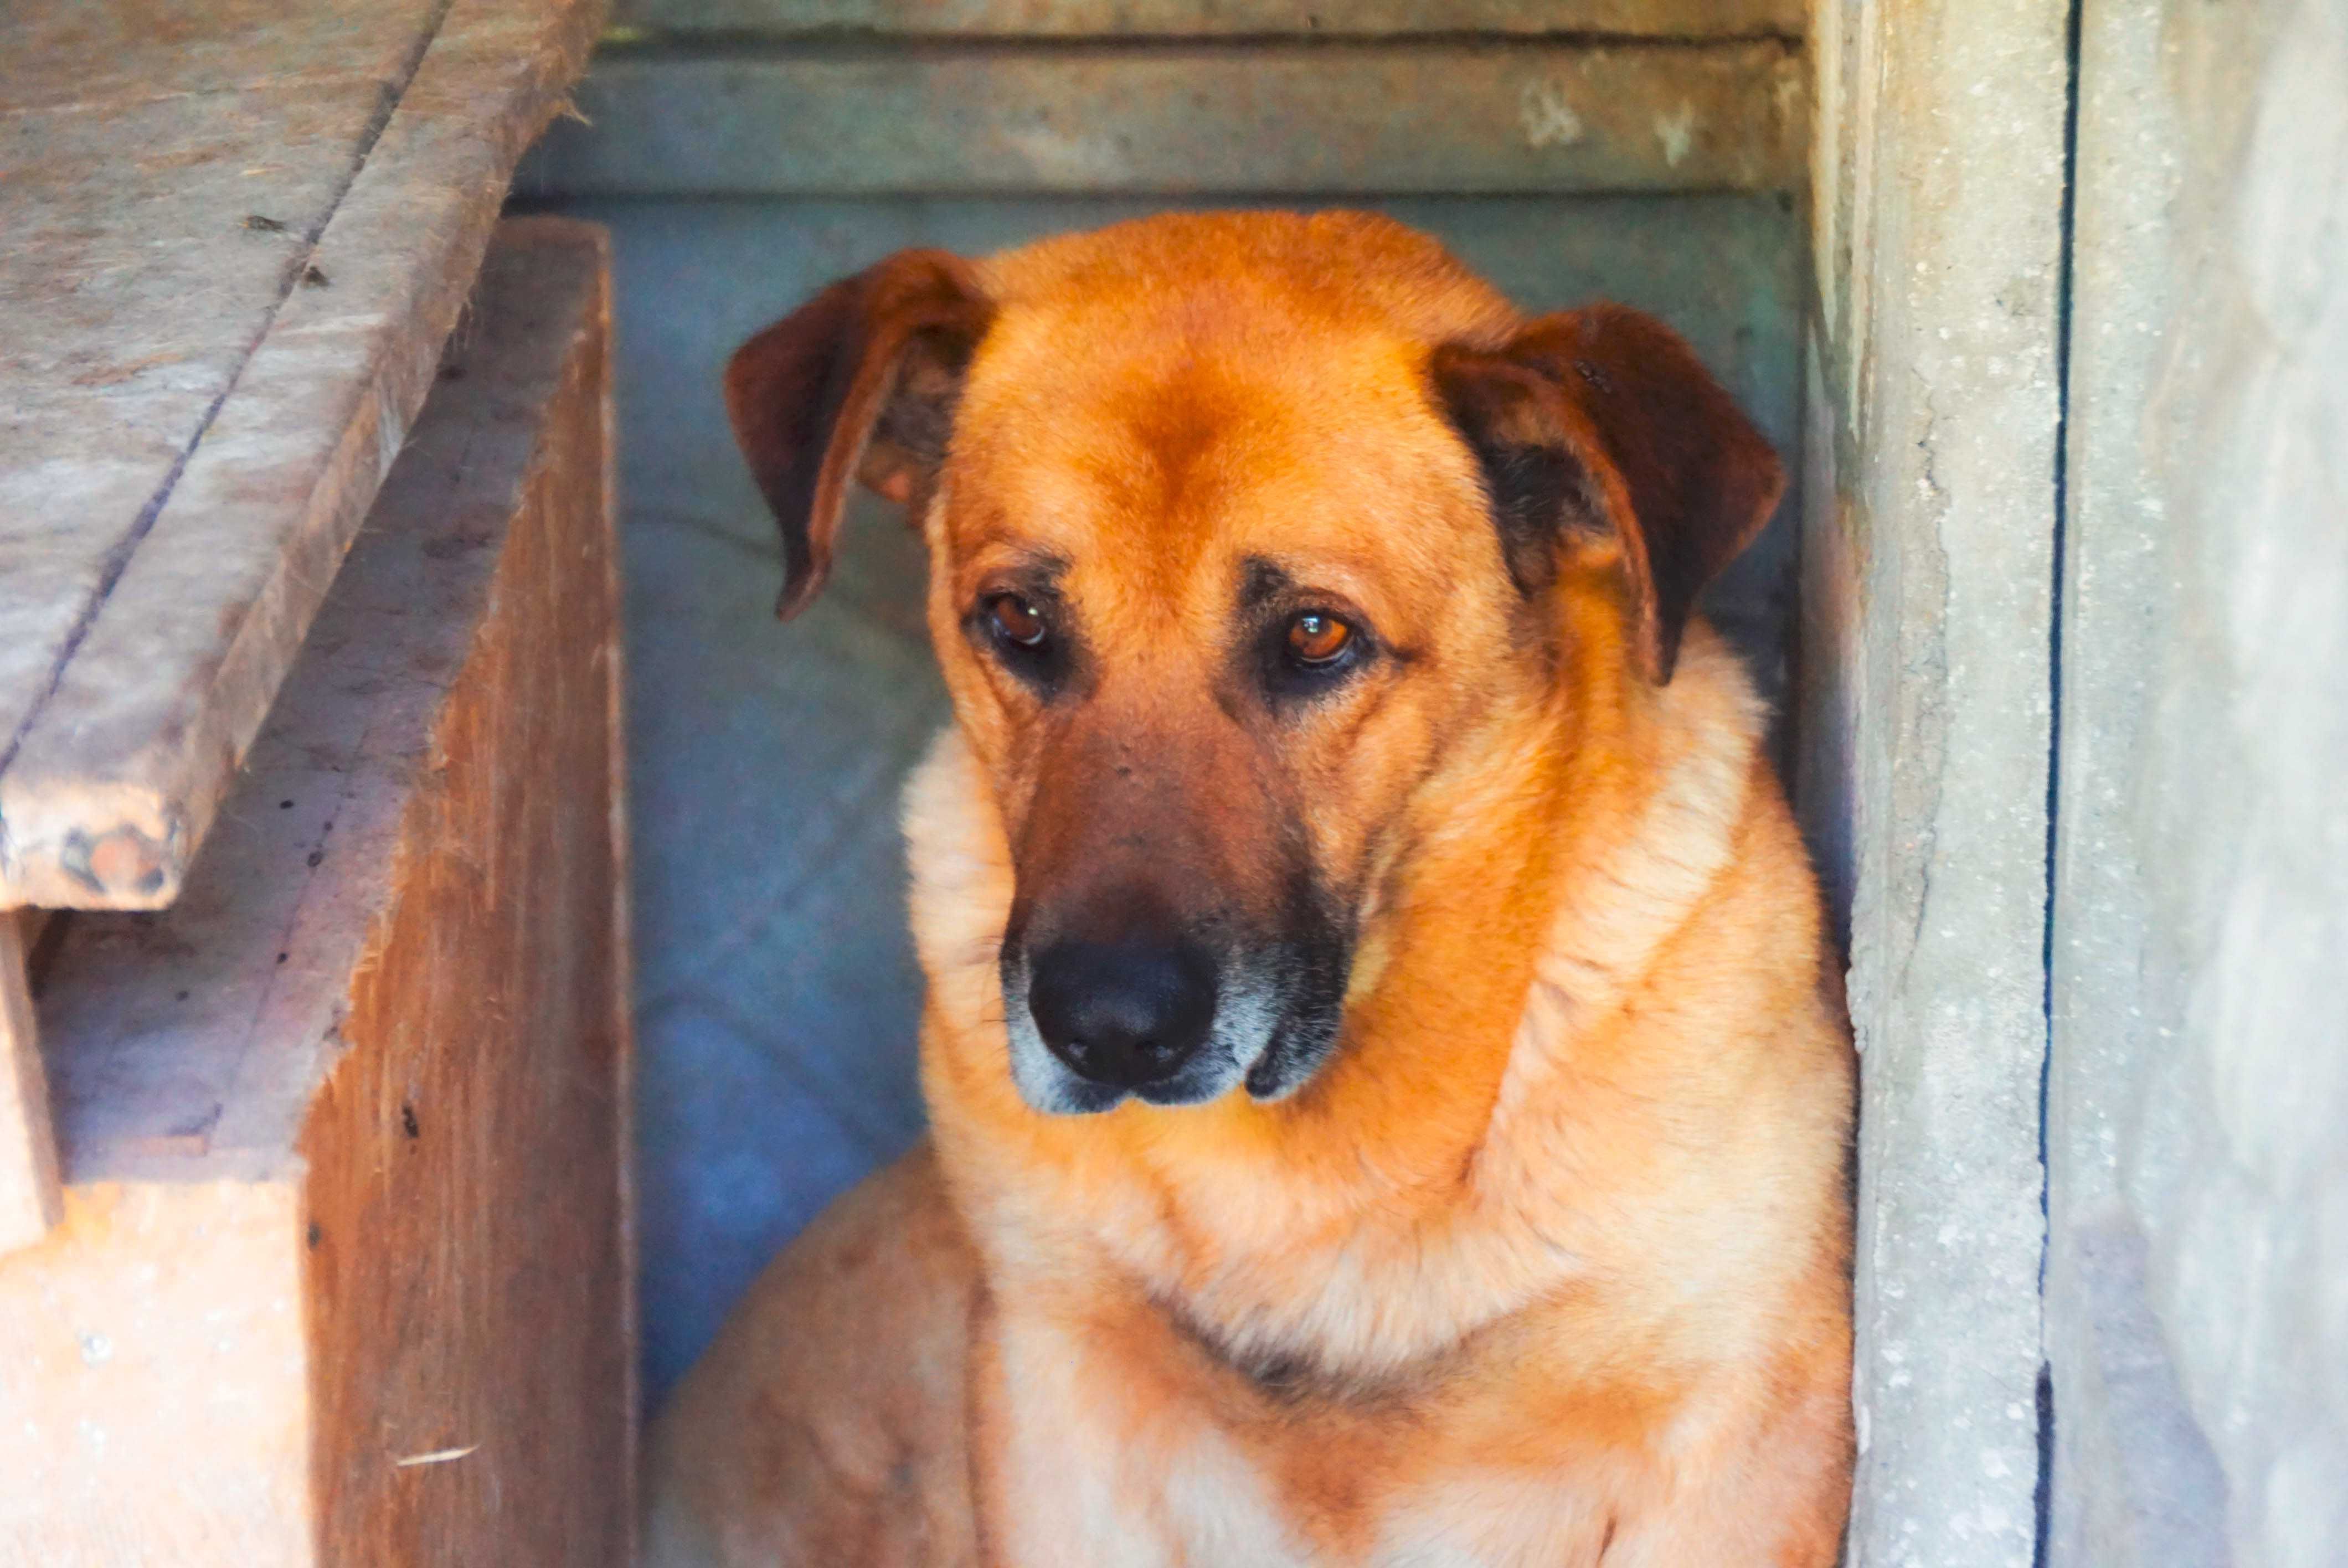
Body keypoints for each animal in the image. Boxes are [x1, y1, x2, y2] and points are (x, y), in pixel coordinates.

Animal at [639, 211, 1850, 1568]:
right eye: (1015, 619)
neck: (1325, 1164)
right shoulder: (1060, 1396)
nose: (1107, 1030)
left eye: (1317, 635)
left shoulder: (1737, 1430)